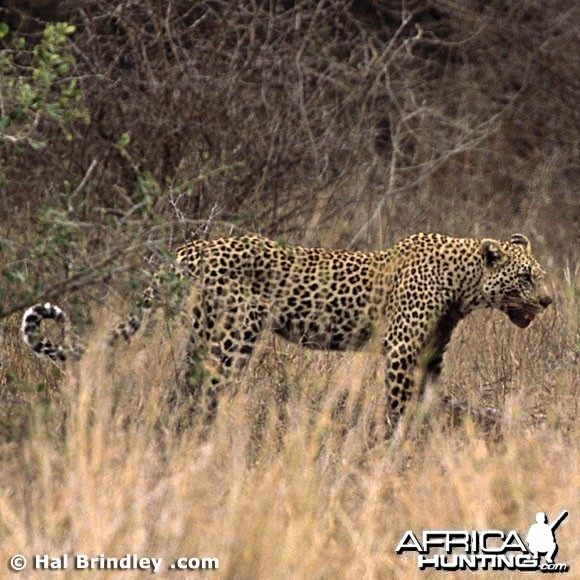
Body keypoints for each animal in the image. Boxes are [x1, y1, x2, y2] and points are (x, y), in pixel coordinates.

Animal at [21, 232, 552, 430]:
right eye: (527, 278)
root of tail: (191, 247)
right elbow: (399, 407)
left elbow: (430, 400)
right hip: (236, 335)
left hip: (203, 333)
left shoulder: (430, 355)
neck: (465, 286)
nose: (549, 301)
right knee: (212, 389)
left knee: (185, 384)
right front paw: (393, 446)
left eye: (541, 275)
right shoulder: (402, 351)